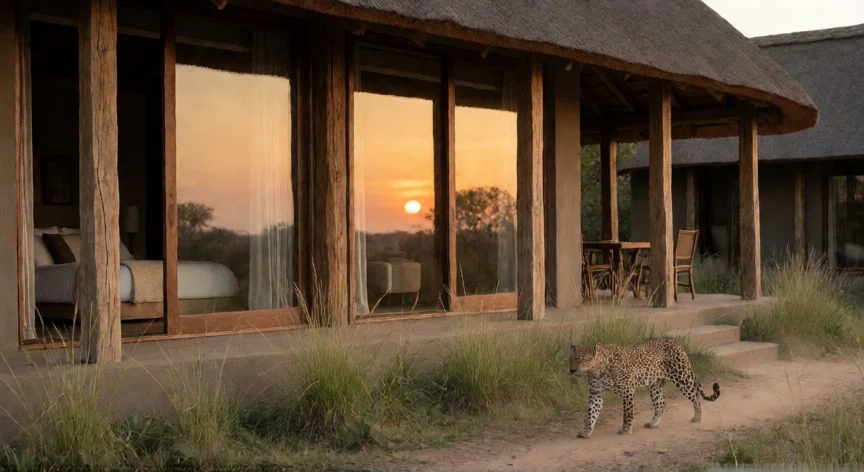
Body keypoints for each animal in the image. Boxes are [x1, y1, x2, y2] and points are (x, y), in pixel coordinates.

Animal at [569, 338, 720, 438]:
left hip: (682, 378)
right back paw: (653, 423)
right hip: (655, 385)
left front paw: (626, 430)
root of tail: (676, 344)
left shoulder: (627, 391)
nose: (571, 370)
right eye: (571, 359)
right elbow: (591, 413)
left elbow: (627, 413)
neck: (597, 370)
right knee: (661, 403)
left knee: (695, 395)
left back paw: (697, 417)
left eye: (580, 359)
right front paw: (586, 431)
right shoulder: (596, 393)